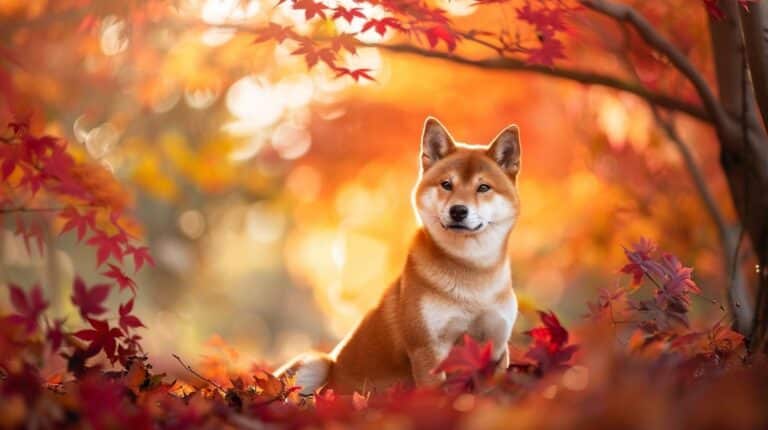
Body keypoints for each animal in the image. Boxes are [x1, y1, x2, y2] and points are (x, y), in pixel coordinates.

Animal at [276, 116, 522, 395]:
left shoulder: (496, 350)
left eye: (483, 187)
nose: (458, 210)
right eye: (446, 184)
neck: (473, 273)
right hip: (314, 363)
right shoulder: (427, 350)